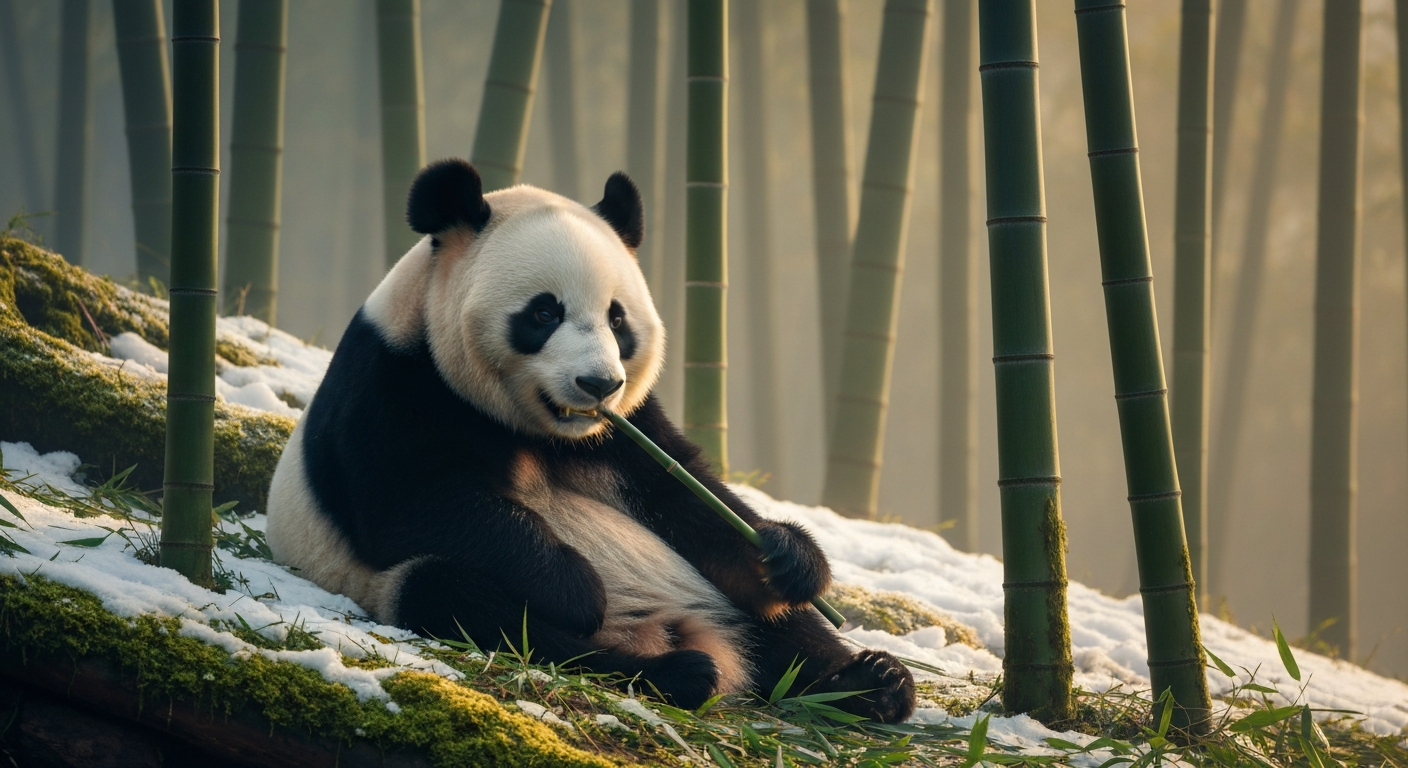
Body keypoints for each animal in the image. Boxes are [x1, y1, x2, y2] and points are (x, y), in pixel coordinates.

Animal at [266, 158, 915, 723]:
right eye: (544, 313)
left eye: (617, 319)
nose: (598, 383)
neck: (538, 428)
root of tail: (677, 631)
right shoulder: (393, 383)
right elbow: (412, 500)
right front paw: (577, 587)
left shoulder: (625, 430)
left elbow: (686, 494)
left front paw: (787, 556)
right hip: (396, 584)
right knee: (470, 602)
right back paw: (676, 672)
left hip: (705, 589)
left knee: (782, 626)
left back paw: (873, 683)